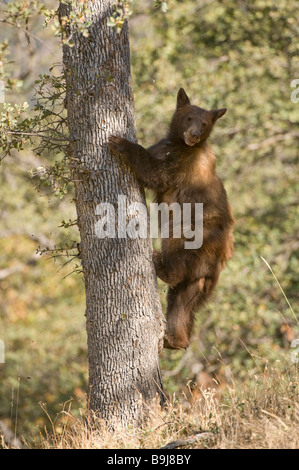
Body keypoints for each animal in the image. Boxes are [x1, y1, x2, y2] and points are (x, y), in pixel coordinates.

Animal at [109, 87, 236, 348]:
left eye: (205, 123)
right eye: (189, 117)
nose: (195, 135)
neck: (180, 144)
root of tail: (221, 257)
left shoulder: (180, 165)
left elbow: (156, 174)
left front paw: (120, 142)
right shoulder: (165, 148)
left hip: (193, 233)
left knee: (177, 264)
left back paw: (159, 262)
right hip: (200, 277)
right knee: (183, 300)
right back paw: (176, 339)